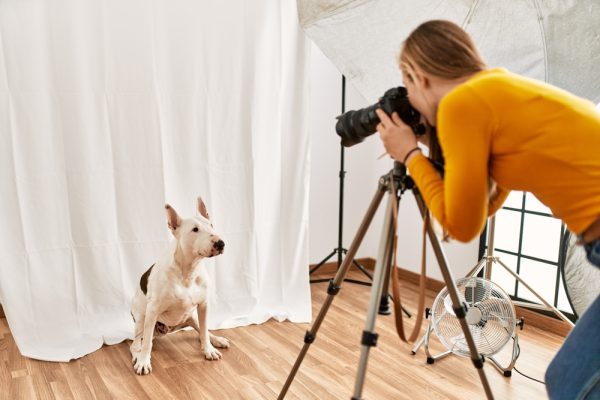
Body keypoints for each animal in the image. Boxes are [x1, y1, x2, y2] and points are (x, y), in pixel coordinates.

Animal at [129, 197, 230, 376]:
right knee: (136, 344)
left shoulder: (203, 305)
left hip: (192, 317)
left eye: (211, 225)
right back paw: (137, 356)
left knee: (203, 330)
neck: (188, 270)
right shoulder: (152, 310)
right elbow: (146, 343)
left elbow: (204, 331)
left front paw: (209, 350)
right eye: (195, 229)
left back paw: (217, 339)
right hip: (141, 319)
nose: (220, 243)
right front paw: (143, 362)